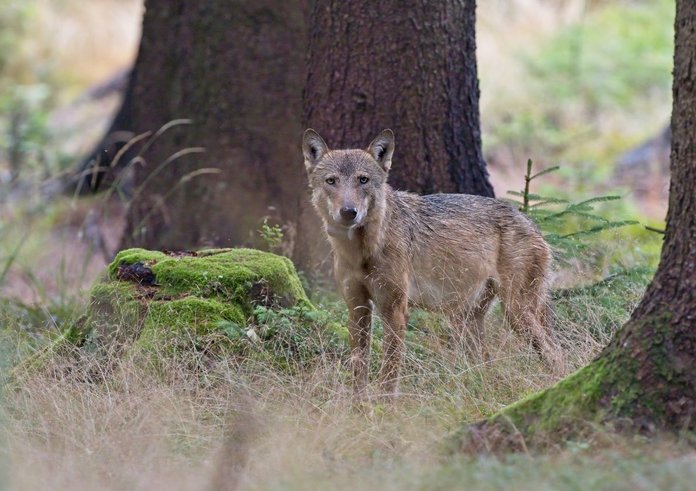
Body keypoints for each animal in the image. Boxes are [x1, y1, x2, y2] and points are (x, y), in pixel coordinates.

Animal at [302, 128, 564, 396]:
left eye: (362, 180)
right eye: (331, 181)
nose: (349, 212)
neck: (360, 251)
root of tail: (533, 225)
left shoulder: (395, 309)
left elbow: (389, 371)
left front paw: (383, 405)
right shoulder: (357, 307)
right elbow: (358, 369)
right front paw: (359, 405)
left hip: (514, 313)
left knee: (557, 353)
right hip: (466, 322)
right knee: (487, 364)